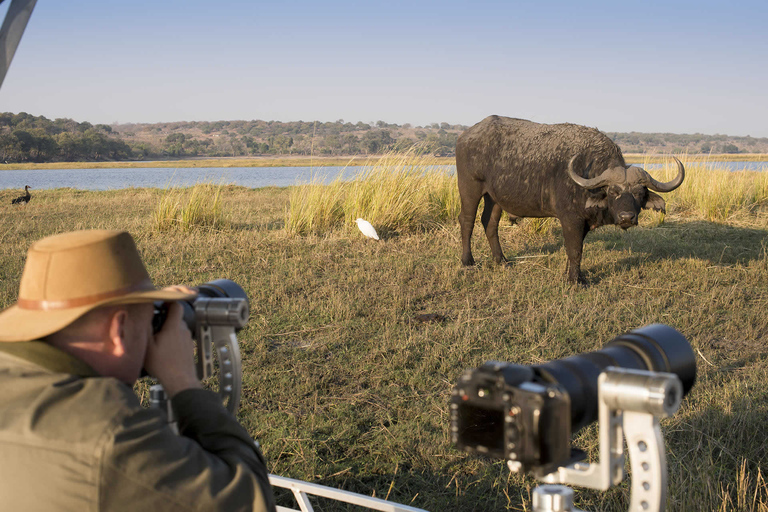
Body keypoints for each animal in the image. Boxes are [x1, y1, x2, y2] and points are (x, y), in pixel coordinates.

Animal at [456, 115, 684, 284]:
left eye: (639, 193)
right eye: (613, 191)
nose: (627, 217)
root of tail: (465, 136)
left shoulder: (583, 222)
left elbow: (575, 249)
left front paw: (570, 273)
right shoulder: (570, 219)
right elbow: (575, 249)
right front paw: (575, 280)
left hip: (495, 198)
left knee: (489, 223)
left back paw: (501, 260)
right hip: (469, 188)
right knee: (467, 221)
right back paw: (468, 261)